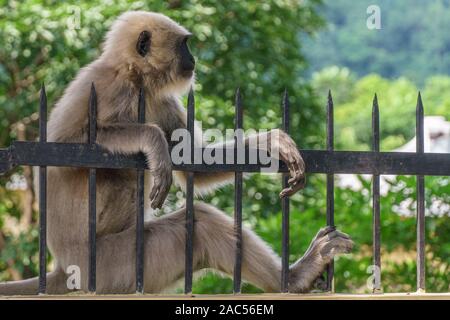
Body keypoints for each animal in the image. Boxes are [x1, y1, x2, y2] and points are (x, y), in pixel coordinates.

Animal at [0, 10, 352, 296]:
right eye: (184, 45)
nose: (192, 58)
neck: (135, 79)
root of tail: (62, 269)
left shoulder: (160, 100)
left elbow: (194, 163)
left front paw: (271, 143)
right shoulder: (100, 83)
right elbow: (62, 149)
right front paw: (154, 142)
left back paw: (296, 278)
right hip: (109, 266)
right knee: (195, 223)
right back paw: (295, 278)